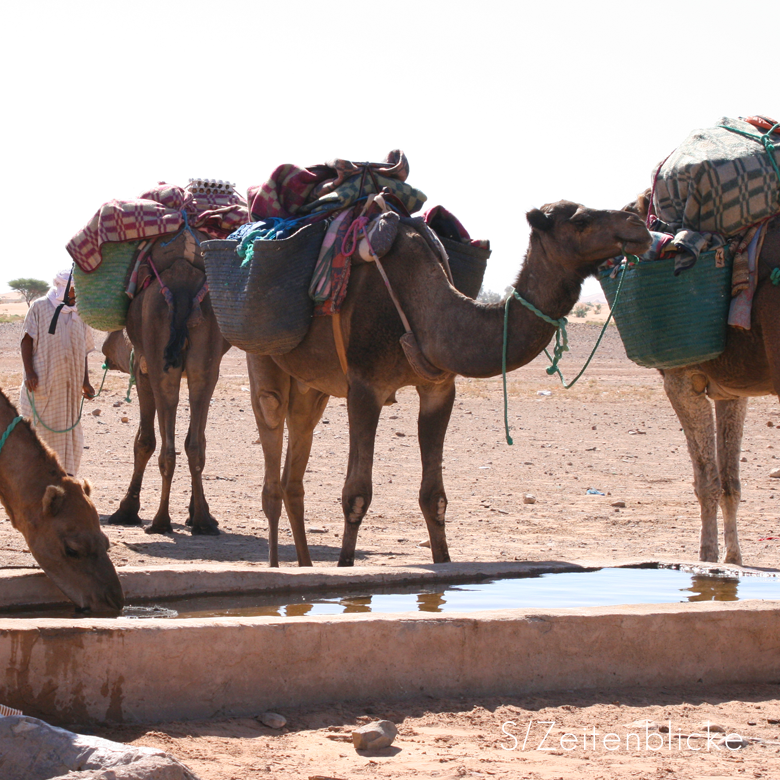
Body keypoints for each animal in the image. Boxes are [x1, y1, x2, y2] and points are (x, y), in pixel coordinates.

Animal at [101, 230, 229, 536]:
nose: (106, 352)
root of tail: (182, 287)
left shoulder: (142, 371)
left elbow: (143, 441)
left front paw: (126, 510)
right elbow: (199, 439)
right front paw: (198, 513)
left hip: (159, 356)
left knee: (164, 443)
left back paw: (160, 521)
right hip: (203, 353)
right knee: (193, 444)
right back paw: (203, 521)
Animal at [245, 201, 652, 568]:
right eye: (580, 220)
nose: (638, 224)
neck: (425, 307)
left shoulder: (439, 390)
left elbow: (434, 497)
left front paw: (443, 562)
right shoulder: (364, 387)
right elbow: (356, 495)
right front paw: (345, 568)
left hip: (312, 384)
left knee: (295, 463)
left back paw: (306, 565)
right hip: (263, 356)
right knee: (271, 439)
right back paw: (275, 566)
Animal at [624, 191, 780, 564]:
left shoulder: (681, 380)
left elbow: (706, 481)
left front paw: (707, 557)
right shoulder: (732, 390)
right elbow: (729, 483)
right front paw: (733, 559)